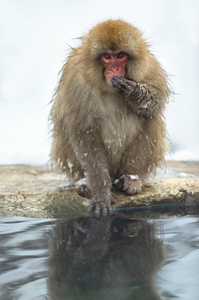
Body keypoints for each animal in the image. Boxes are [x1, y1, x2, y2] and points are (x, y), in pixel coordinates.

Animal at [50, 19, 169, 213]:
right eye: (107, 56)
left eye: (120, 55)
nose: (114, 68)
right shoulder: (76, 79)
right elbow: (84, 132)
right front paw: (100, 192)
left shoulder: (149, 66)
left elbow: (156, 101)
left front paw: (135, 93)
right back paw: (84, 183)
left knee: (150, 118)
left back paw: (131, 179)